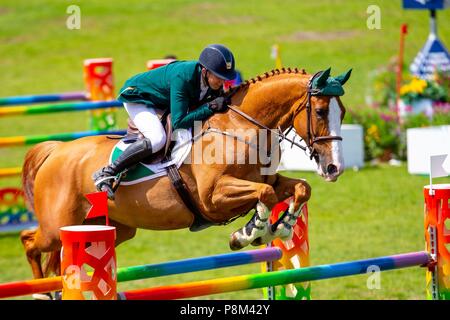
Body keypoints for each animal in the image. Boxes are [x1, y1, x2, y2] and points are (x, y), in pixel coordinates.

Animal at [18, 66, 352, 288]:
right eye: (320, 111)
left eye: (344, 112)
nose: (334, 168)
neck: (241, 128)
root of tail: (57, 150)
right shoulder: (213, 197)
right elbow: (264, 196)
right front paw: (251, 232)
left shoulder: (268, 180)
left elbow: (300, 188)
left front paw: (280, 226)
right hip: (57, 226)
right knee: (30, 240)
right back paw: (42, 292)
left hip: (111, 229)